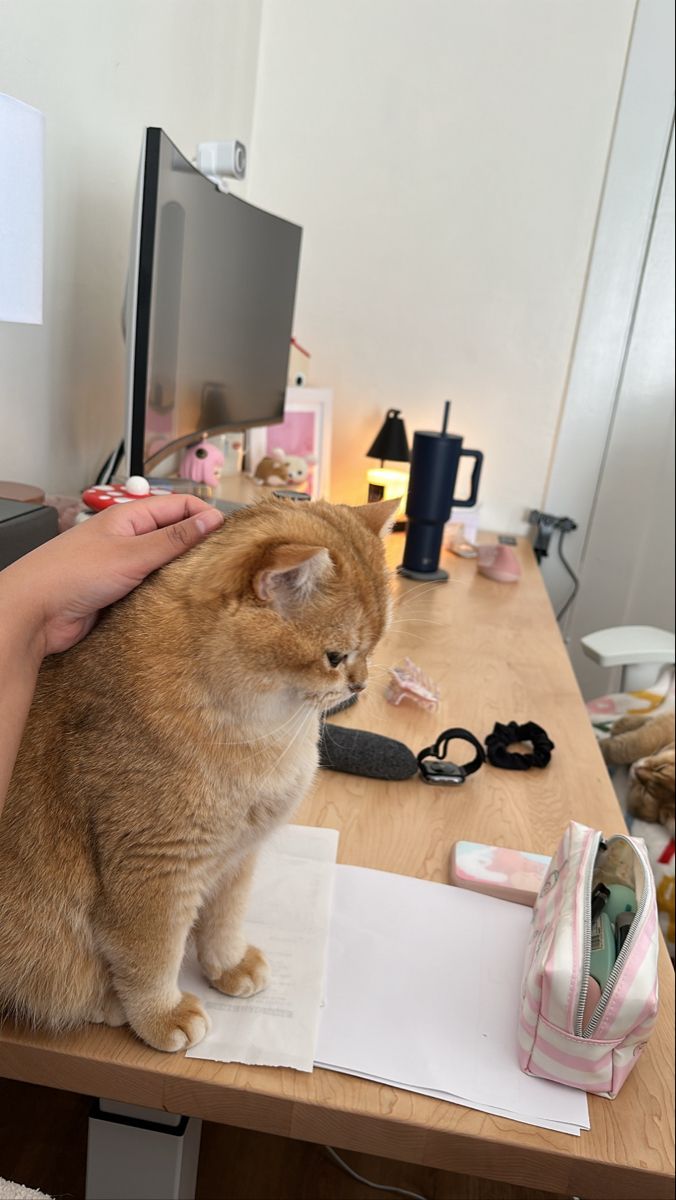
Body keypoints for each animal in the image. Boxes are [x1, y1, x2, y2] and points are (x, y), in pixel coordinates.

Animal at [0, 496, 398, 1051]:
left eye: (375, 647)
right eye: (335, 657)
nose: (359, 685)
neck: (259, 733)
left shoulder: (237, 856)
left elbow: (224, 921)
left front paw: (228, 965)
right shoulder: (154, 871)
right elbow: (151, 957)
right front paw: (162, 1015)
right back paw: (106, 1005)